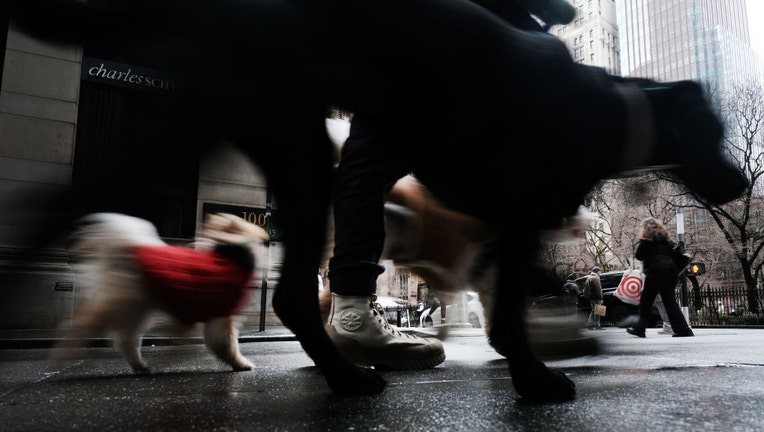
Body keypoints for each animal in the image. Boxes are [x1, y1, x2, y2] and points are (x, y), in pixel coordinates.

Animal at [51, 211, 268, 372]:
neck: (232, 253)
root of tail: (129, 248)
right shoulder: (222, 317)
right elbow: (228, 345)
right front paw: (240, 363)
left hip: (137, 308)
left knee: (126, 338)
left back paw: (140, 365)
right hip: (127, 305)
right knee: (87, 322)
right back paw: (63, 353)